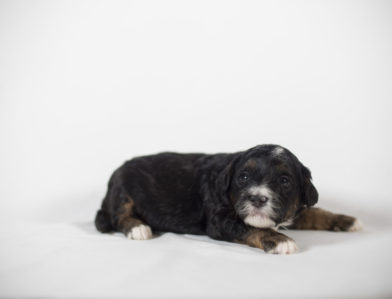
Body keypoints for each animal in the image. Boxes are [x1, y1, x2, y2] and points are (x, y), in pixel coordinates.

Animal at [94, 145, 362, 255]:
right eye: (243, 177)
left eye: (285, 180)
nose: (257, 199)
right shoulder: (219, 220)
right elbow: (252, 227)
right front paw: (280, 240)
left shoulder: (290, 209)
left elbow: (314, 212)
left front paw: (347, 220)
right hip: (122, 191)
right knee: (119, 217)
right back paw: (138, 228)